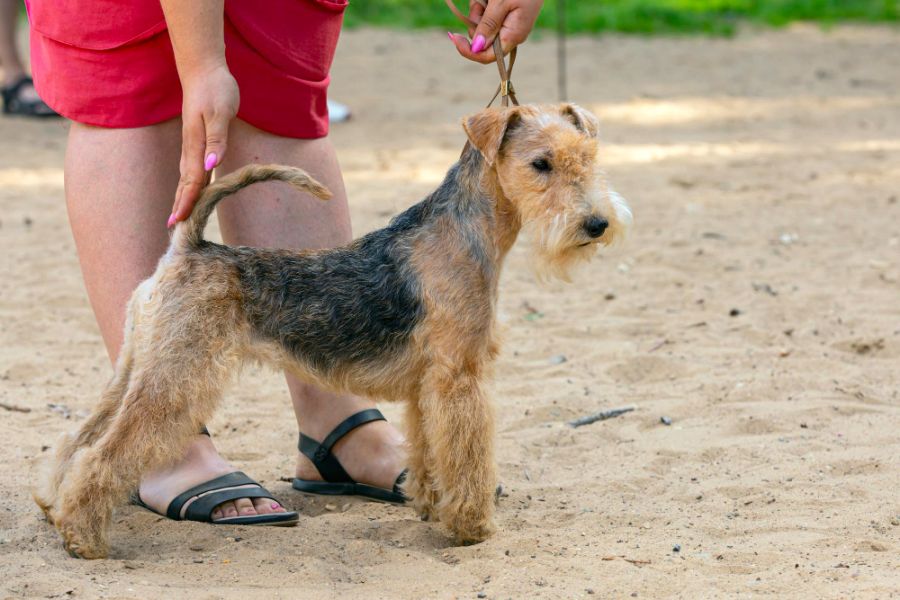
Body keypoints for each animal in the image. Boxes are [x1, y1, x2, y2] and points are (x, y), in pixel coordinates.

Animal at [33, 102, 632, 556]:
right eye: (540, 163)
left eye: (588, 157)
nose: (596, 223)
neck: (463, 234)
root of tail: (188, 247)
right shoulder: (460, 377)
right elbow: (467, 454)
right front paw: (471, 526)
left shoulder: (428, 384)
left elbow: (429, 450)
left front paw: (428, 504)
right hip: (177, 375)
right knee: (103, 455)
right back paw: (84, 537)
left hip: (138, 365)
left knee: (77, 441)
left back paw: (53, 507)